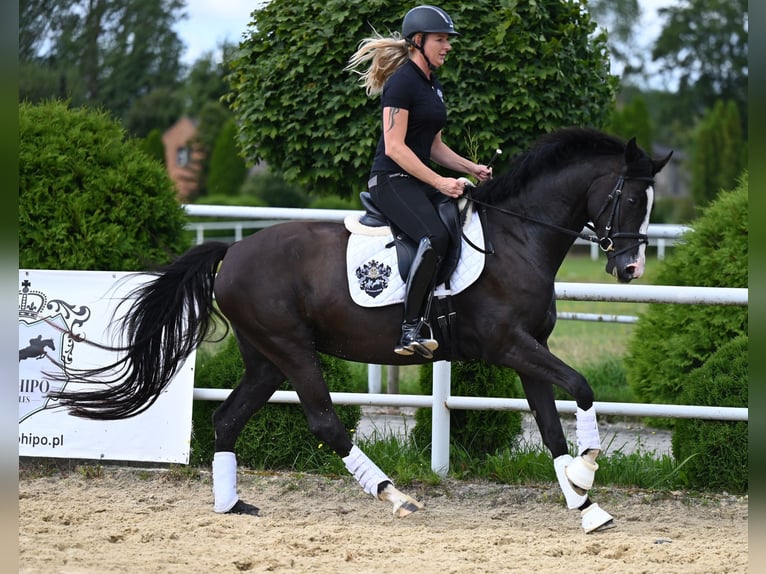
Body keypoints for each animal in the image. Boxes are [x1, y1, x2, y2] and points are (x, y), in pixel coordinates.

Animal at [49, 128, 672, 532]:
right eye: (630, 198)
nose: (631, 269)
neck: (517, 239)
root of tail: (235, 250)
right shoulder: (510, 346)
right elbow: (583, 389)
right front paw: (587, 475)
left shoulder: (530, 350)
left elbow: (549, 426)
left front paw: (585, 505)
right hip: (293, 351)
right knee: (325, 421)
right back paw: (395, 497)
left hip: (266, 358)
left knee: (227, 419)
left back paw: (231, 506)